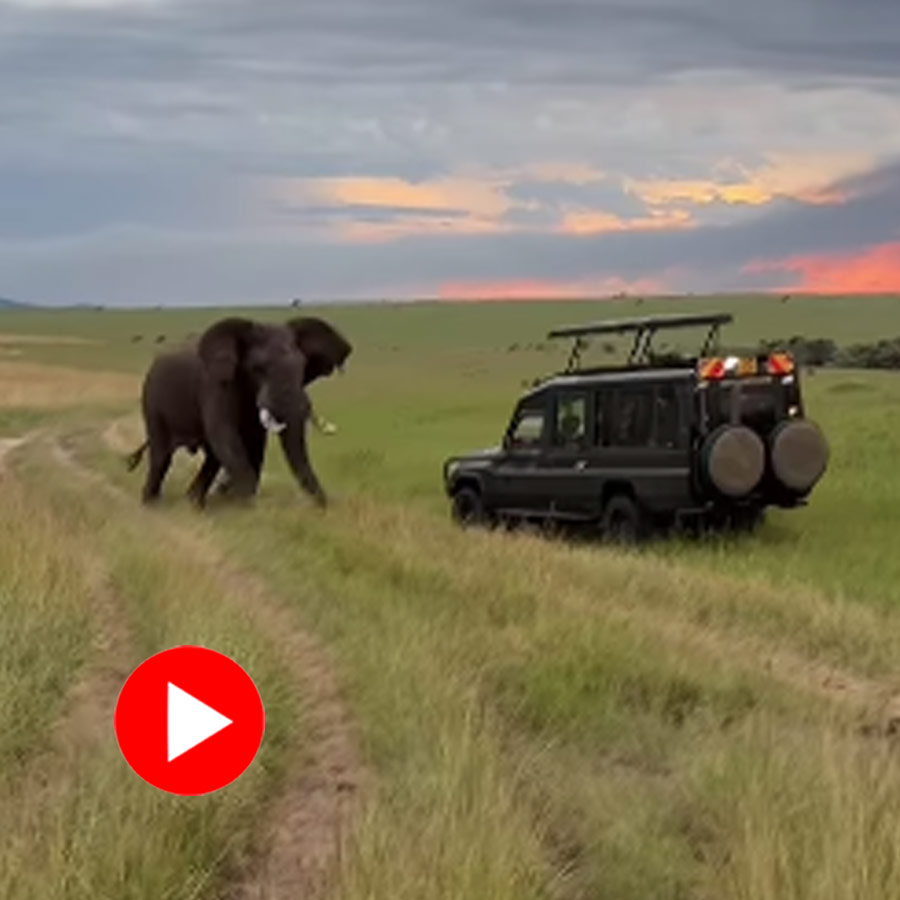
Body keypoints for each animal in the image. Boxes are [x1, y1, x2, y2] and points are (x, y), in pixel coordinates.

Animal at [126, 315, 352, 507]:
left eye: (302, 368)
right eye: (258, 368)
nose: (323, 507)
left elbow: (255, 443)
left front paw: (237, 502)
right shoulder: (215, 385)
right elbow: (224, 434)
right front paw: (245, 506)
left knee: (212, 458)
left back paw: (194, 504)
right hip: (151, 401)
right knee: (161, 456)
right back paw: (151, 504)